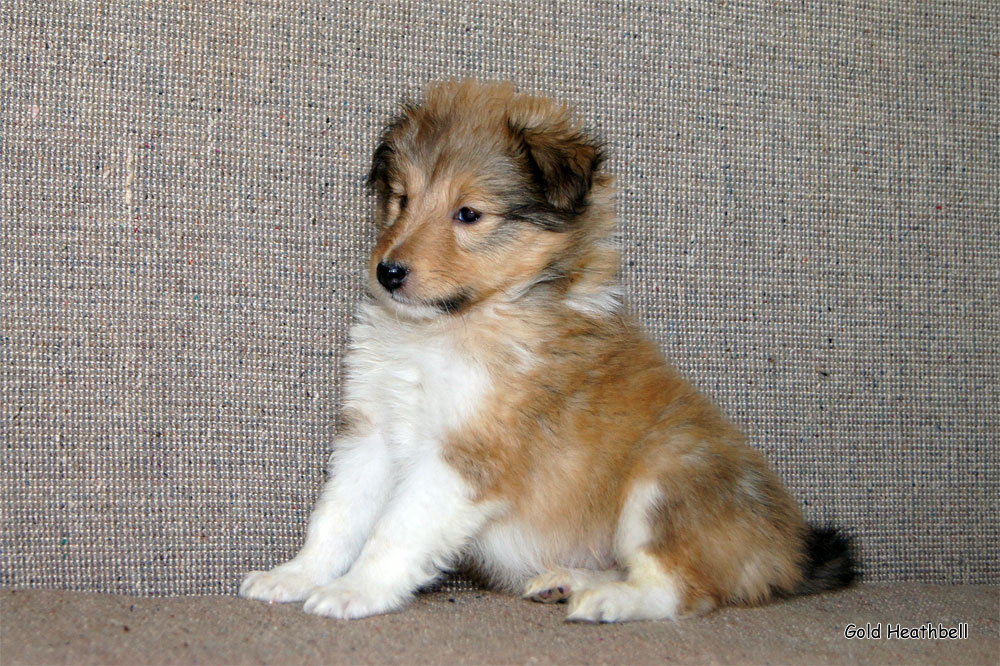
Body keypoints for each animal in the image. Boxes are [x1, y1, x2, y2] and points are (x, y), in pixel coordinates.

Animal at [238, 80, 856, 620]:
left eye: (469, 213)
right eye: (402, 199)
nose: (388, 273)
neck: (450, 328)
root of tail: (788, 553)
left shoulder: (468, 455)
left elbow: (395, 528)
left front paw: (355, 591)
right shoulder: (371, 434)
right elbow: (337, 517)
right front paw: (295, 576)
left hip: (666, 480)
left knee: (681, 588)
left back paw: (607, 601)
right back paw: (567, 580)